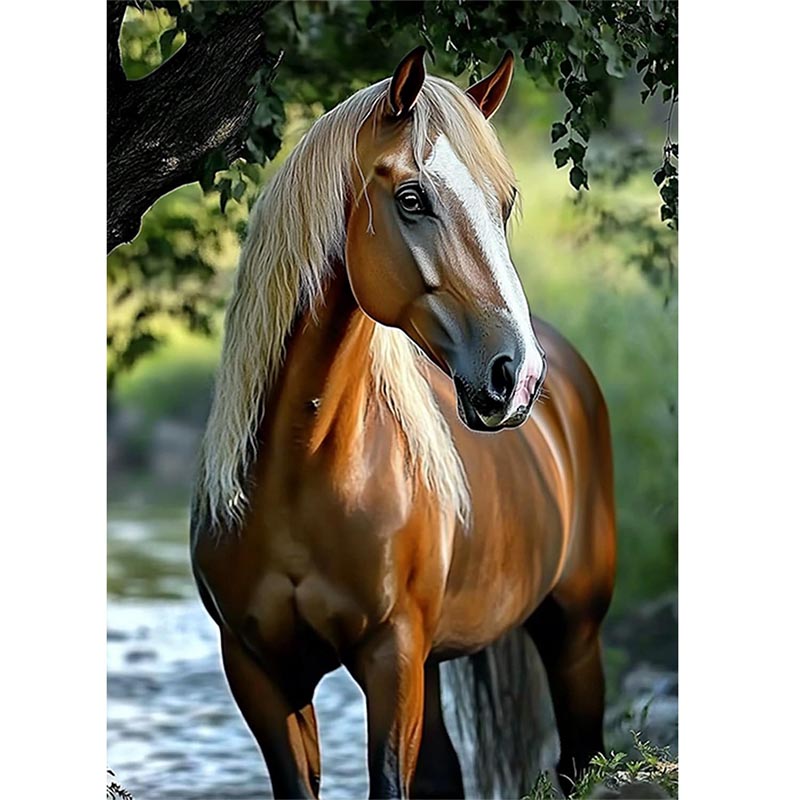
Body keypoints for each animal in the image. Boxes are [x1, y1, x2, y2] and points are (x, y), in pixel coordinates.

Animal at [191, 47, 616, 799]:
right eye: (412, 198)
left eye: (504, 205)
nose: (516, 376)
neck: (301, 474)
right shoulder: (258, 672)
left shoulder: (392, 656)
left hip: (574, 636)